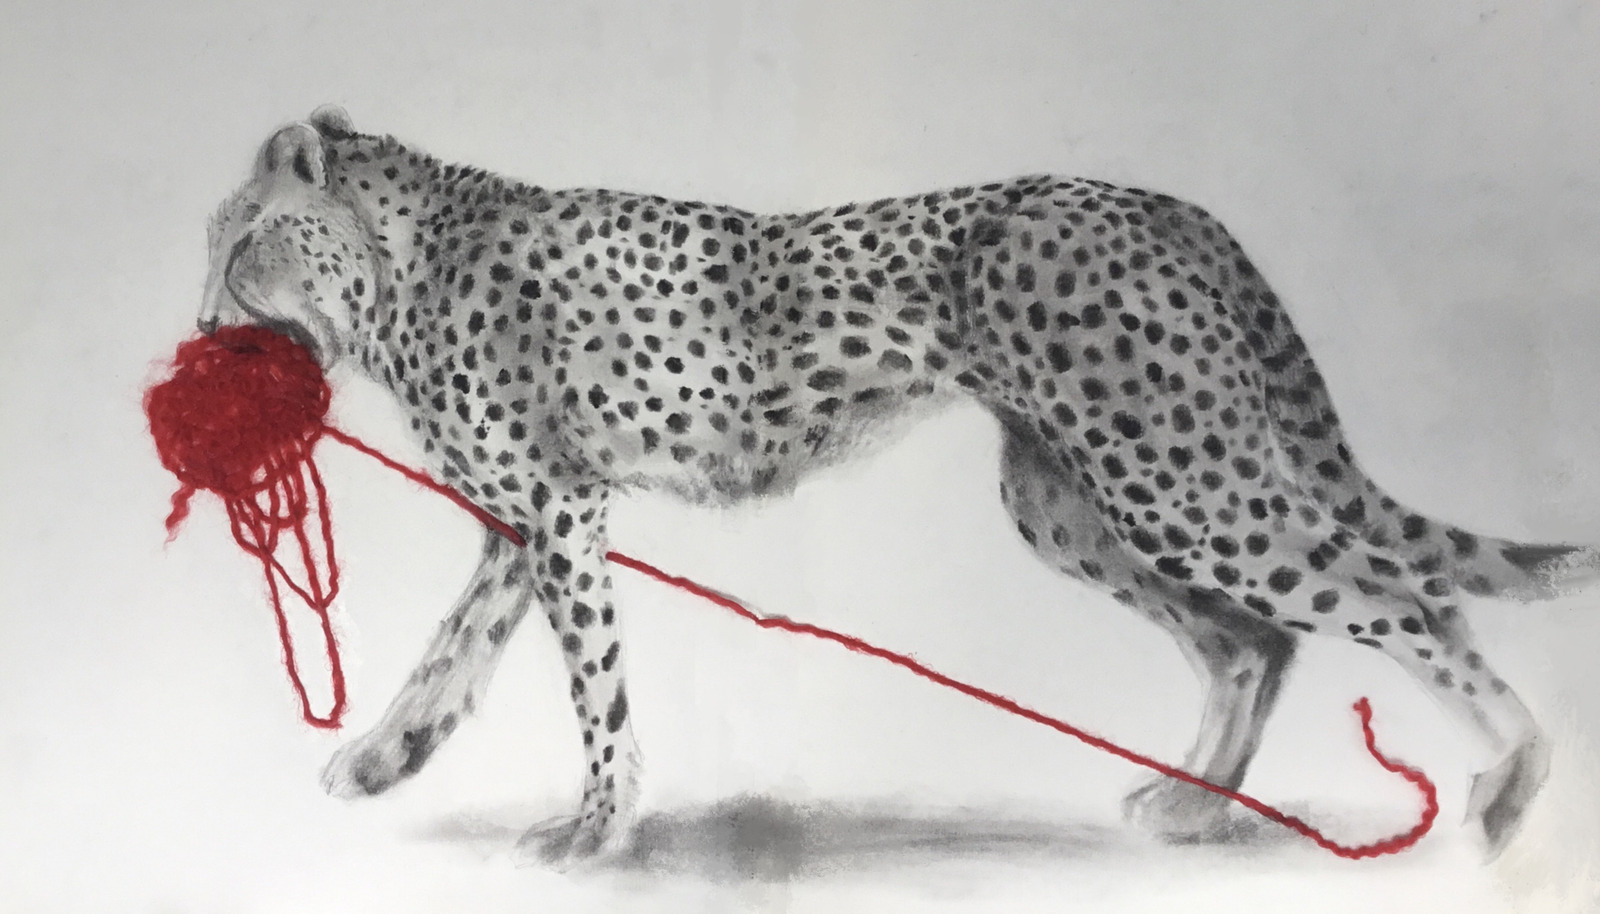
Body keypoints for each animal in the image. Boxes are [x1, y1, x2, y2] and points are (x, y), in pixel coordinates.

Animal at [197, 105, 1597, 866]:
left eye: (239, 240)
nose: (204, 325)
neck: (397, 264)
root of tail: (1156, 200)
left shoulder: (558, 507)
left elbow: (593, 682)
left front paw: (592, 829)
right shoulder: (528, 510)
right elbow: (451, 654)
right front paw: (384, 760)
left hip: (1176, 474)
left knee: (1401, 594)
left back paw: (1515, 784)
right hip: (1068, 500)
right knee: (1252, 639)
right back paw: (1196, 805)